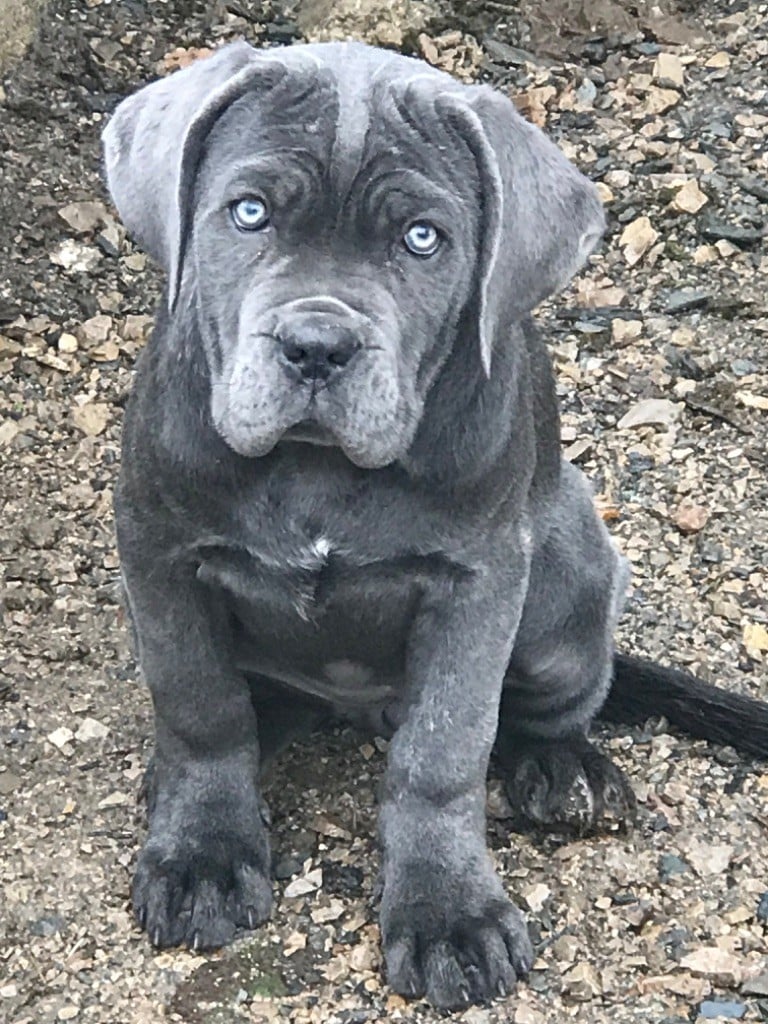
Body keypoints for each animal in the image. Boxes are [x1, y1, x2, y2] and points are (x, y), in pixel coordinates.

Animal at [102, 41, 768, 1010]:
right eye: (249, 212)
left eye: (423, 238)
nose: (316, 345)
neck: (318, 467)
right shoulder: (158, 547)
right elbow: (200, 706)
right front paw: (202, 853)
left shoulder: (477, 582)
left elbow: (443, 748)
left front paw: (448, 912)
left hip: (569, 562)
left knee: (559, 698)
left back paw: (564, 768)